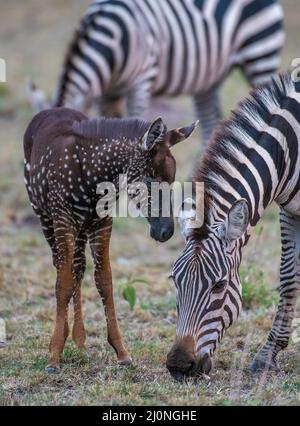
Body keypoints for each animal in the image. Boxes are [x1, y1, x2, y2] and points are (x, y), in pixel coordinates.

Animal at [23, 106, 197, 370]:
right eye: (150, 180)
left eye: (172, 180)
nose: (165, 232)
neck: (89, 173)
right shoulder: (62, 220)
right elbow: (62, 283)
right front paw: (54, 354)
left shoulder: (102, 222)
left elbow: (104, 280)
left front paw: (121, 351)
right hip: (44, 216)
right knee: (62, 268)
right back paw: (65, 336)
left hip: (81, 228)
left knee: (78, 268)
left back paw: (79, 339)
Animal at [166, 72, 300, 380]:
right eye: (175, 280)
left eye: (219, 285)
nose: (178, 366)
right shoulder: (289, 211)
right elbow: (288, 279)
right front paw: (268, 354)